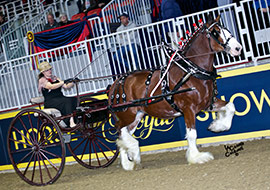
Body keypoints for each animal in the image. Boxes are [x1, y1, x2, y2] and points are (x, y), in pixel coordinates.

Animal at [107, 14, 243, 170]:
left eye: (226, 29)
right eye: (216, 32)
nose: (238, 48)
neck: (191, 72)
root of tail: (116, 82)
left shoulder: (208, 103)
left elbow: (231, 106)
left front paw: (217, 126)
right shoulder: (189, 109)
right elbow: (192, 134)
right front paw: (197, 157)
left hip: (137, 115)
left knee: (123, 133)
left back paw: (128, 163)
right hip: (128, 113)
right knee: (120, 130)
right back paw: (133, 152)